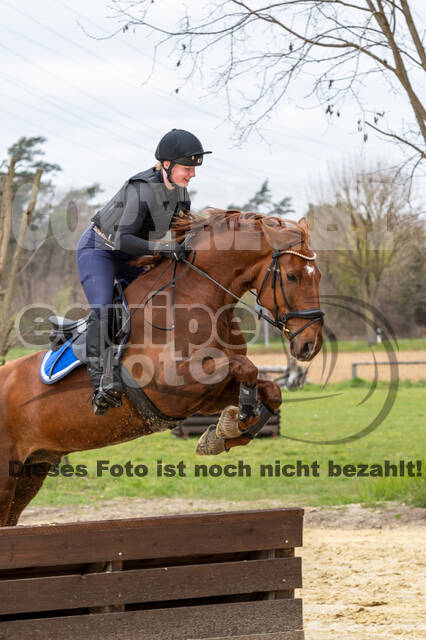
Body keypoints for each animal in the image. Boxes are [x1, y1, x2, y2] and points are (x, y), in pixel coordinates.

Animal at [0, 211, 322, 524]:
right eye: (292, 276)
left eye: (317, 275)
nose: (310, 344)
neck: (194, 299)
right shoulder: (173, 385)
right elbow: (244, 366)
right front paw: (235, 419)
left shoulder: (207, 394)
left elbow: (270, 389)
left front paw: (224, 433)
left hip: (31, 471)